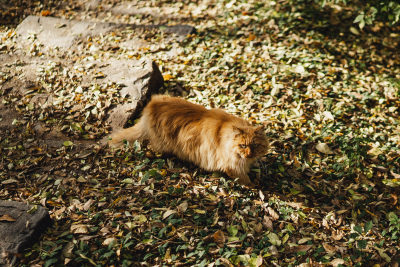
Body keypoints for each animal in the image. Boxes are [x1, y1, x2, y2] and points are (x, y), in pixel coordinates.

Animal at [108, 95, 268, 187]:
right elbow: (246, 180)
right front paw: (254, 185)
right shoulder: (233, 167)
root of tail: (150, 105)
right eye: (243, 145)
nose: (249, 154)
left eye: (255, 145)